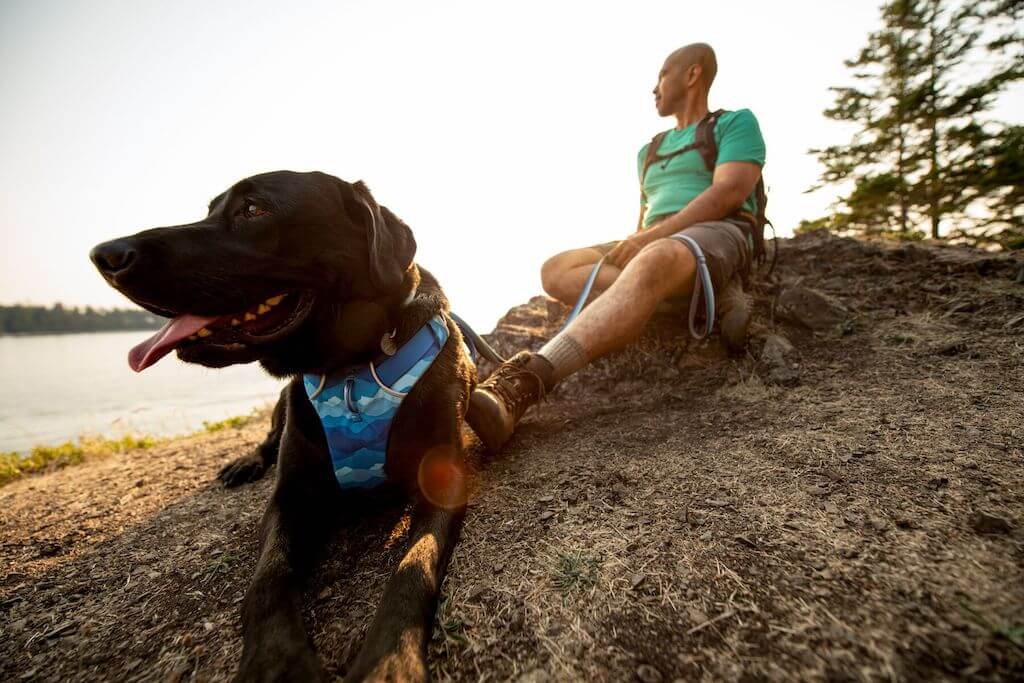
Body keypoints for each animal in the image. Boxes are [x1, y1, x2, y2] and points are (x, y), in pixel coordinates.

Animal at [90, 169, 473, 679]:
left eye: (253, 210)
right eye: (210, 209)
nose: (105, 254)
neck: (352, 367)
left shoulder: (443, 478)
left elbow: (414, 566)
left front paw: (389, 664)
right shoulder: (292, 495)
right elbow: (267, 579)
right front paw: (276, 661)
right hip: (281, 406)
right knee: (268, 439)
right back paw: (245, 464)